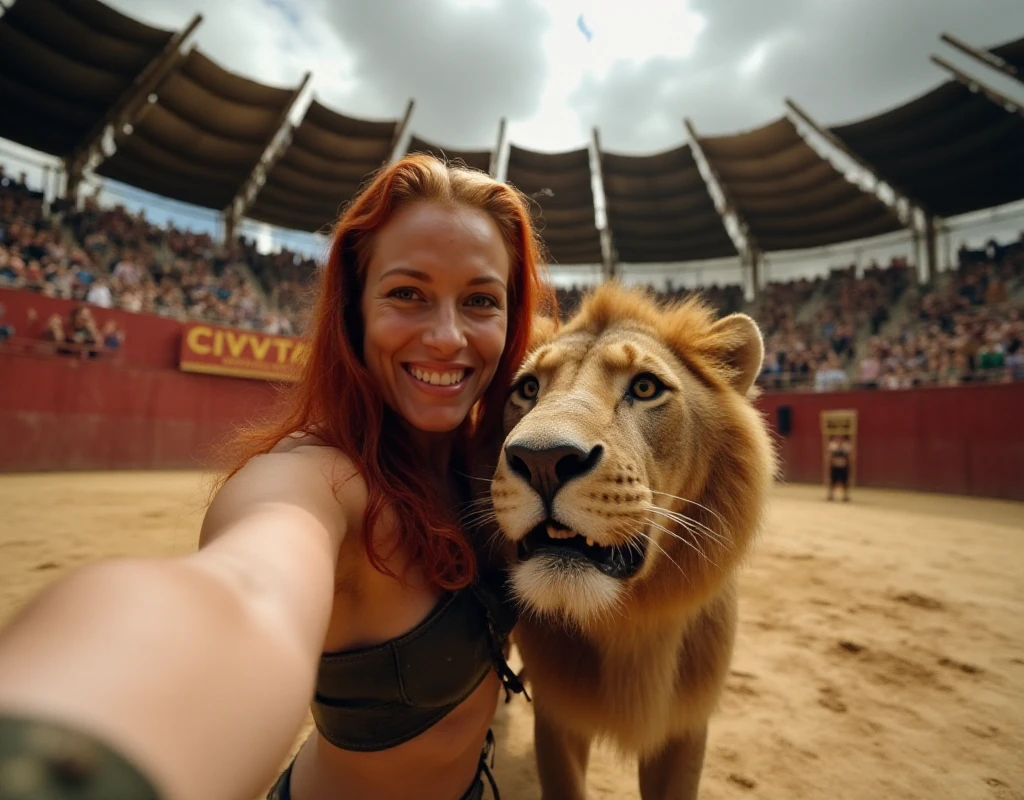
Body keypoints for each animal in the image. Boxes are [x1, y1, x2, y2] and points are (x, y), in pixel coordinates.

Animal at [489, 282, 774, 798]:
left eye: (645, 387)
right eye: (528, 388)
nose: (541, 461)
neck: (628, 622)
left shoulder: (686, 728)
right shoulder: (558, 719)